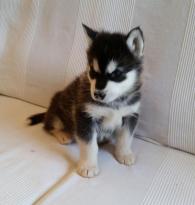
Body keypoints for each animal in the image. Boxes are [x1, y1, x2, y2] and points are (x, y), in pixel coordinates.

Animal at [28, 24, 145, 178]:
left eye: (116, 74)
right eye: (93, 72)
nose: (97, 94)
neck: (113, 104)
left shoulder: (131, 114)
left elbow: (125, 137)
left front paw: (124, 154)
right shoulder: (85, 116)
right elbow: (90, 146)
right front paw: (88, 166)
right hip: (56, 111)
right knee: (50, 126)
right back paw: (63, 134)